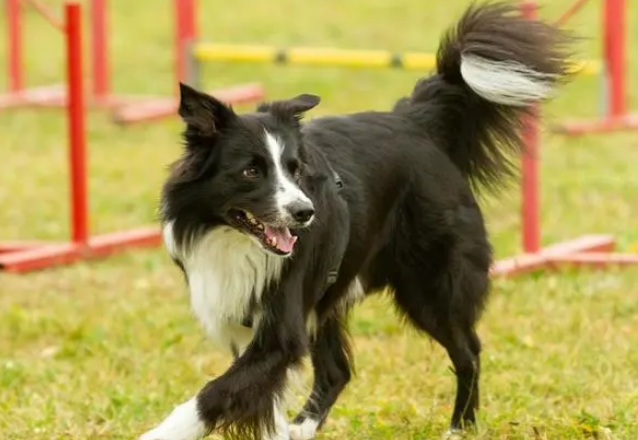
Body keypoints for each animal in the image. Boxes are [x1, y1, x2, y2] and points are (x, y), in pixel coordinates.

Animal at [141, 3, 576, 440]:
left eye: (294, 169)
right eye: (250, 172)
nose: (305, 213)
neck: (233, 239)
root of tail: (415, 120)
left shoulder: (280, 329)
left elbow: (213, 395)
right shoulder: (244, 320)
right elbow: (261, 399)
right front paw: (278, 428)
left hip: (430, 283)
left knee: (468, 350)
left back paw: (459, 427)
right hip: (332, 292)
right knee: (337, 371)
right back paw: (303, 429)